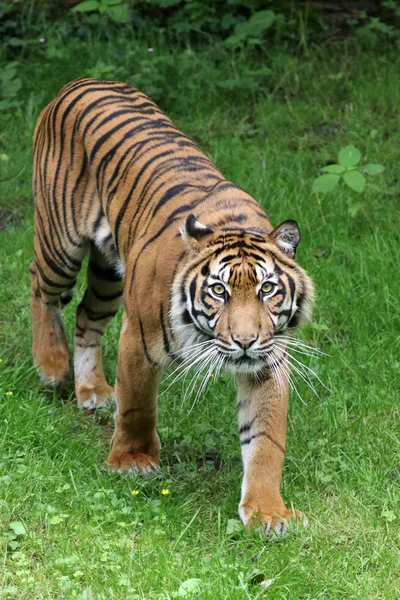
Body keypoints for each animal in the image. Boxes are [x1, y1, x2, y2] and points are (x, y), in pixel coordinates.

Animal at [29, 78, 314, 536]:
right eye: (219, 291)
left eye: (268, 289)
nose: (245, 341)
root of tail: (80, 81)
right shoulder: (138, 338)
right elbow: (137, 405)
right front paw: (132, 461)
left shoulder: (268, 362)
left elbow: (266, 440)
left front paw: (268, 512)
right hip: (61, 242)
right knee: (40, 283)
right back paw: (52, 365)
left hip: (109, 276)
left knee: (86, 318)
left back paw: (92, 390)